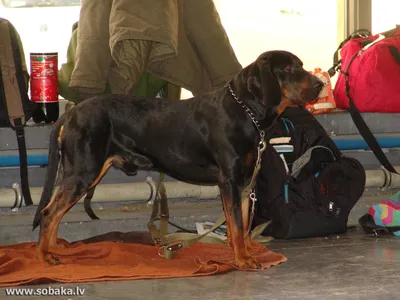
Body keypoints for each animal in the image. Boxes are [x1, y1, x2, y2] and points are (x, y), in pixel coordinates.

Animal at [32, 50, 324, 268]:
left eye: (301, 65)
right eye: (288, 69)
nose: (321, 85)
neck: (245, 111)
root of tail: (71, 113)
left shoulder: (243, 183)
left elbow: (239, 223)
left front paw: (245, 252)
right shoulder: (229, 181)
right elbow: (237, 225)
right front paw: (243, 259)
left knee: (55, 212)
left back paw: (56, 247)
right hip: (84, 172)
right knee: (48, 212)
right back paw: (45, 255)